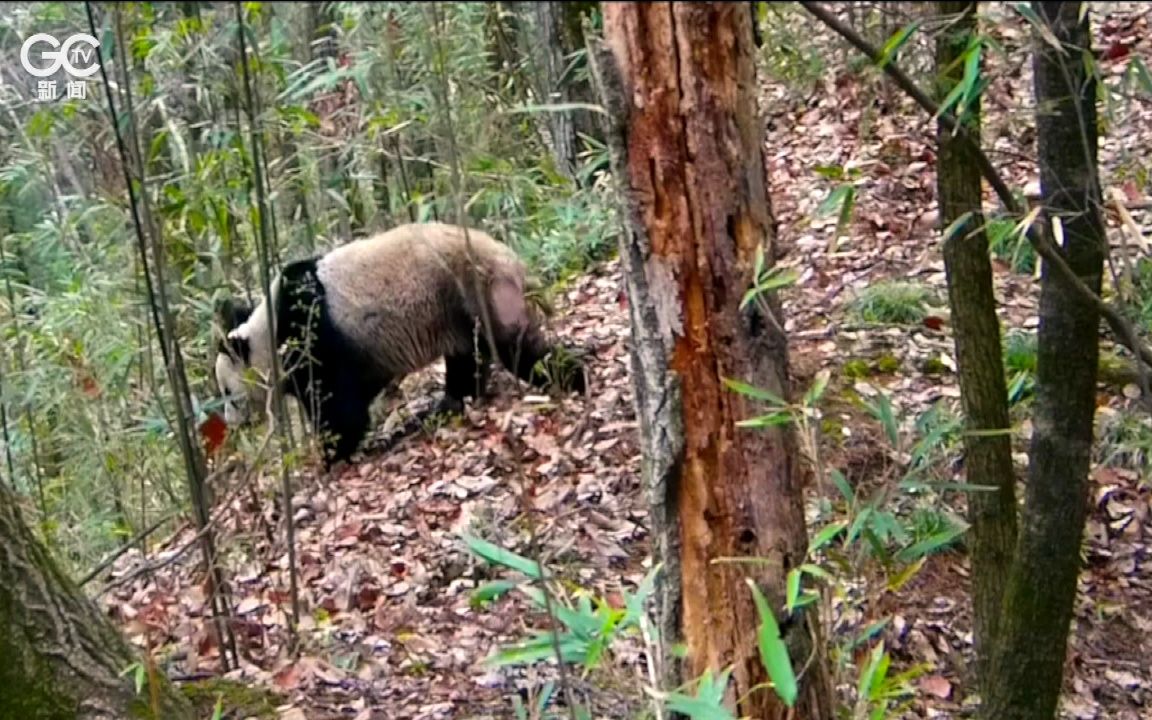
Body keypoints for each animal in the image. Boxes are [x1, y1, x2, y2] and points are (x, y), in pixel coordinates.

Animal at [216, 222, 589, 470]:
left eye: (226, 393)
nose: (232, 424)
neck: (268, 335)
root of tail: (511, 260)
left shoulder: (315, 331)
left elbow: (339, 404)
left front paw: (332, 455)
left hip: (474, 288)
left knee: (514, 347)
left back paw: (572, 379)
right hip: (453, 309)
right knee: (467, 358)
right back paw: (453, 402)